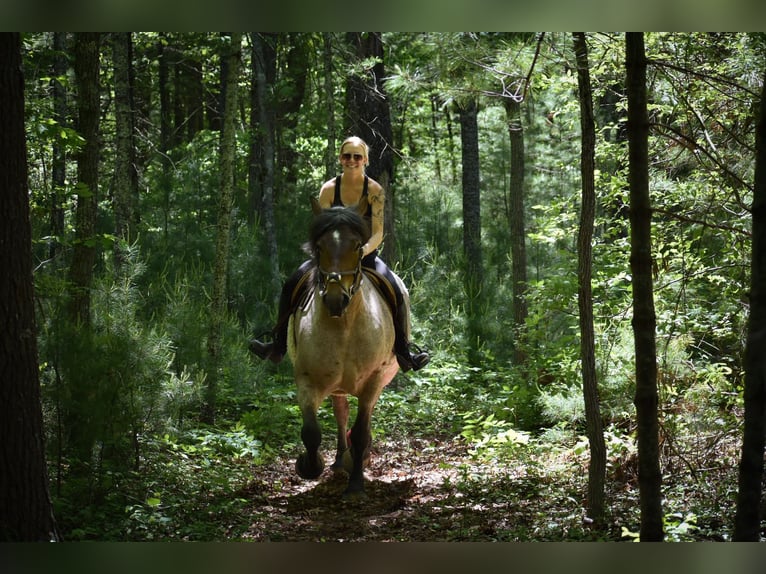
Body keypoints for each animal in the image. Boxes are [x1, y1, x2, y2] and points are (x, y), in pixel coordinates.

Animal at [288, 196, 404, 498]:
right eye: (319, 246)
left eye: (356, 245)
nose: (335, 299)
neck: (344, 329)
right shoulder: (307, 380)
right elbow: (311, 432)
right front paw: (309, 465)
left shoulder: (373, 380)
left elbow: (361, 431)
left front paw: (356, 485)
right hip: (336, 386)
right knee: (341, 414)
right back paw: (341, 460)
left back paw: (355, 459)